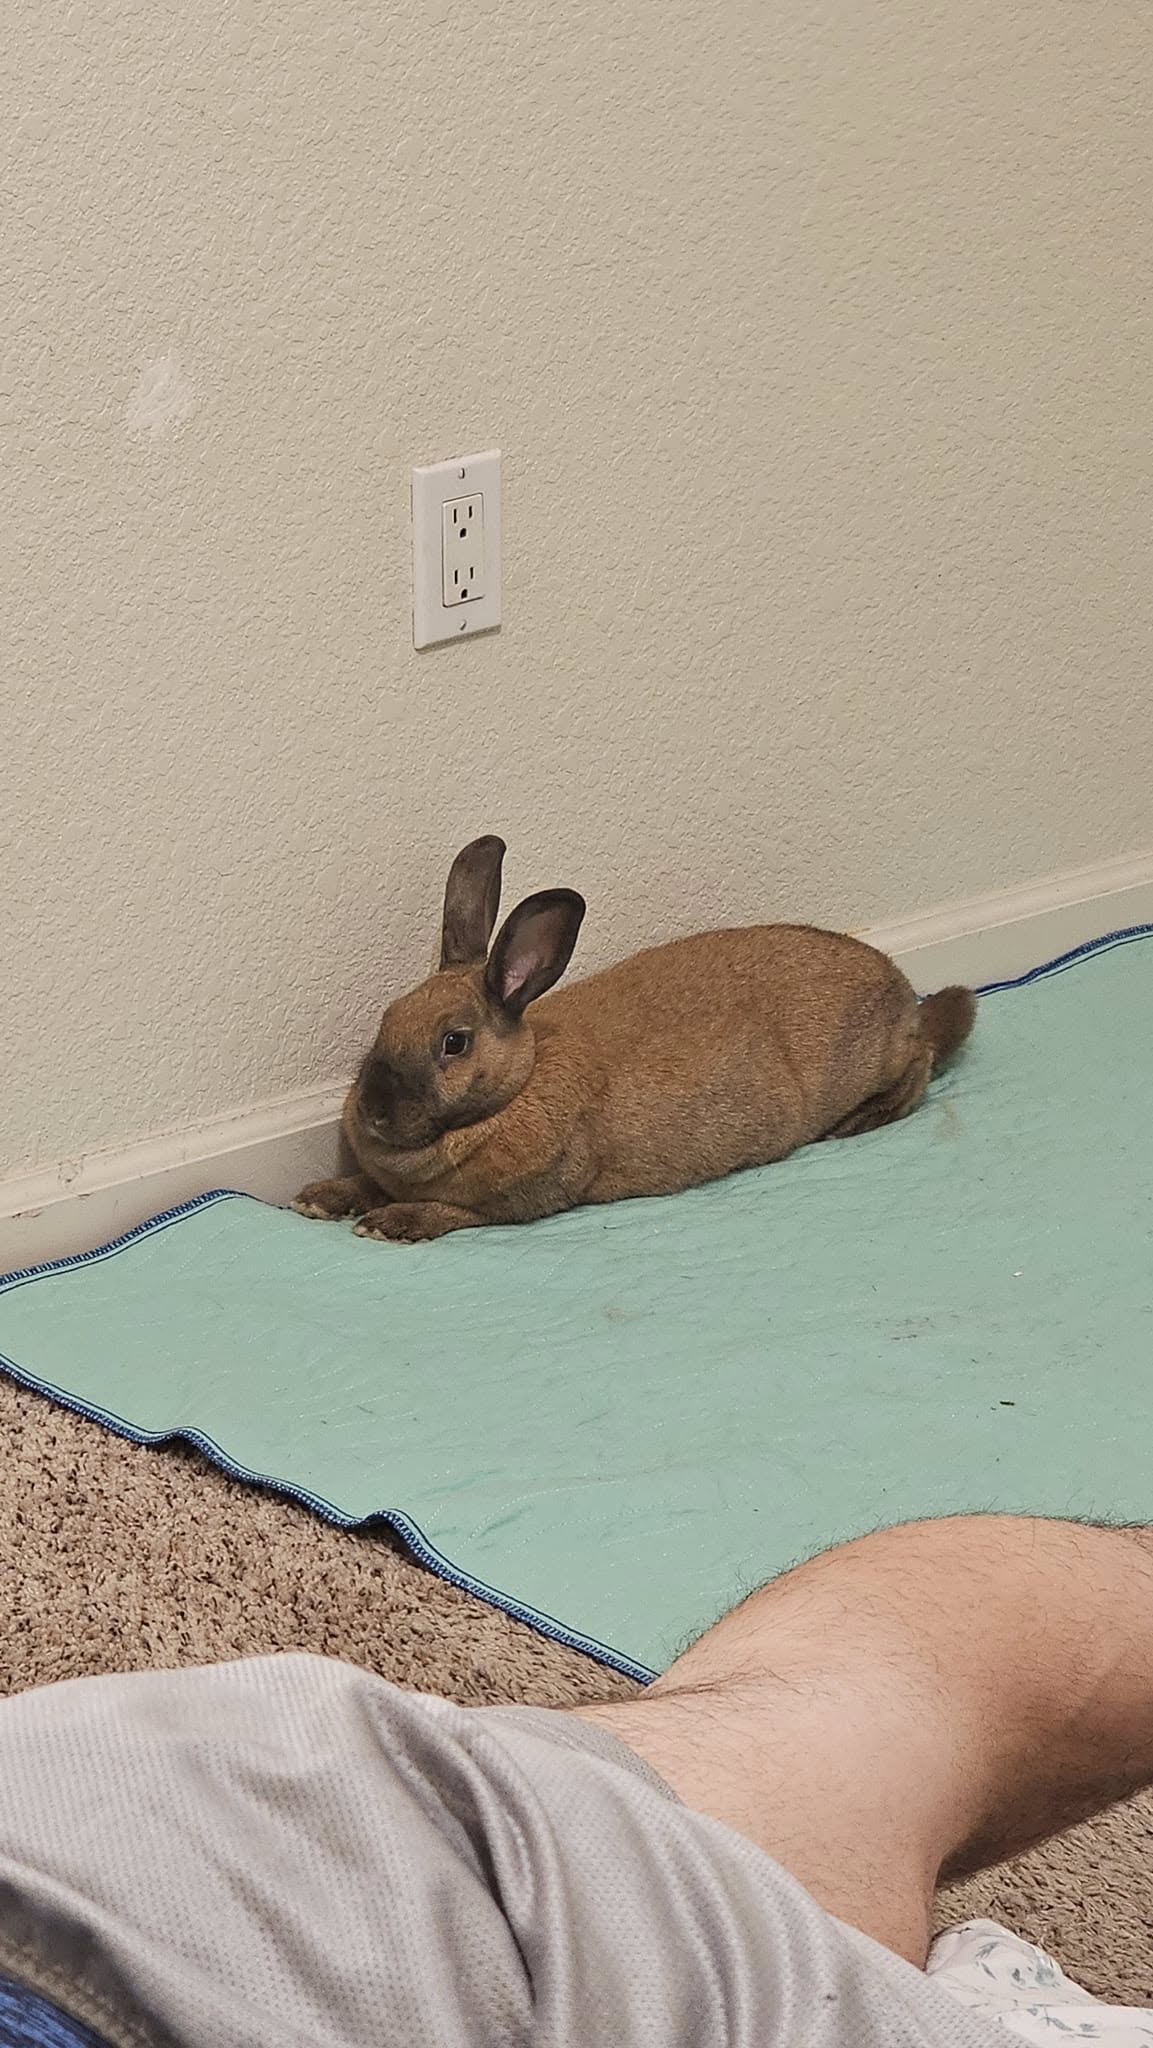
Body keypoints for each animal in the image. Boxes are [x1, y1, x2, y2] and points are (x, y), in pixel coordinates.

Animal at [294, 835, 976, 1244]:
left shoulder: (522, 1202)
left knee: (922, 1060)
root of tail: (898, 987)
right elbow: (368, 1184)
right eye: (386, 1018)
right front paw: (321, 1198)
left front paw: (388, 1223)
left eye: (454, 1044)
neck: (520, 1083)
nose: (374, 1112)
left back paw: (865, 1116)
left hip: (873, 1056)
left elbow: (451, 1213)